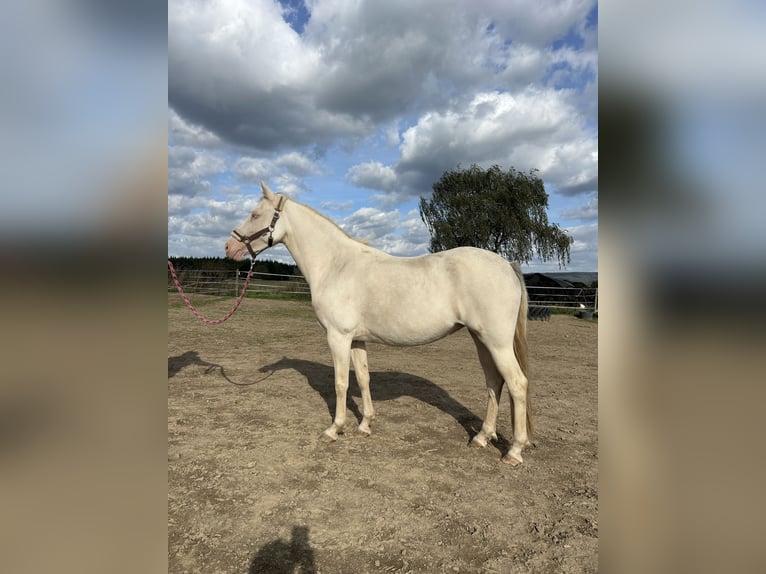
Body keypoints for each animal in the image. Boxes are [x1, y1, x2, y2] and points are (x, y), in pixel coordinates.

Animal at [225, 182, 533, 465]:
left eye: (255, 214)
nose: (230, 247)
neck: (336, 265)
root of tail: (507, 264)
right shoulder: (357, 339)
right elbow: (362, 379)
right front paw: (365, 425)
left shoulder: (338, 337)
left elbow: (340, 382)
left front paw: (334, 429)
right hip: (481, 340)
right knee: (494, 382)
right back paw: (482, 437)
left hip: (497, 343)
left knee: (517, 384)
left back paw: (514, 451)